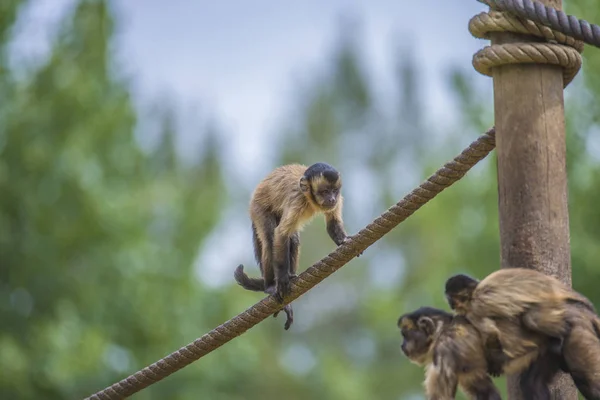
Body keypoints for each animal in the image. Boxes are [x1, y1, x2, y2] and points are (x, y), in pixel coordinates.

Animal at [233, 161, 356, 330]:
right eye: (324, 191)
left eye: (334, 191)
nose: (331, 198)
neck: (309, 198)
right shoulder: (297, 200)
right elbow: (280, 234)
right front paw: (282, 280)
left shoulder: (338, 200)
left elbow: (332, 224)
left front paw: (343, 241)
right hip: (258, 208)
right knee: (270, 238)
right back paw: (271, 285)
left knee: (293, 239)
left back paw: (289, 275)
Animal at [446, 268, 600, 400]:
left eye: (452, 297)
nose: (451, 303)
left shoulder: (476, 307)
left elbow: (490, 332)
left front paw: (496, 363)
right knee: (532, 382)